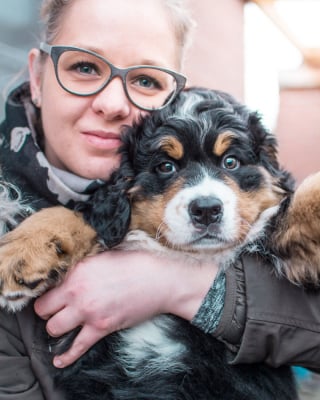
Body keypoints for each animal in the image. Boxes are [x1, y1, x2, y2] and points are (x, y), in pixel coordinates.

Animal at [0, 86, 320, 398]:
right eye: (166, 166)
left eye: (231, 162)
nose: (206, 209)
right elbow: (73, 216)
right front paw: (20, 255)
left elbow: (297, 201)